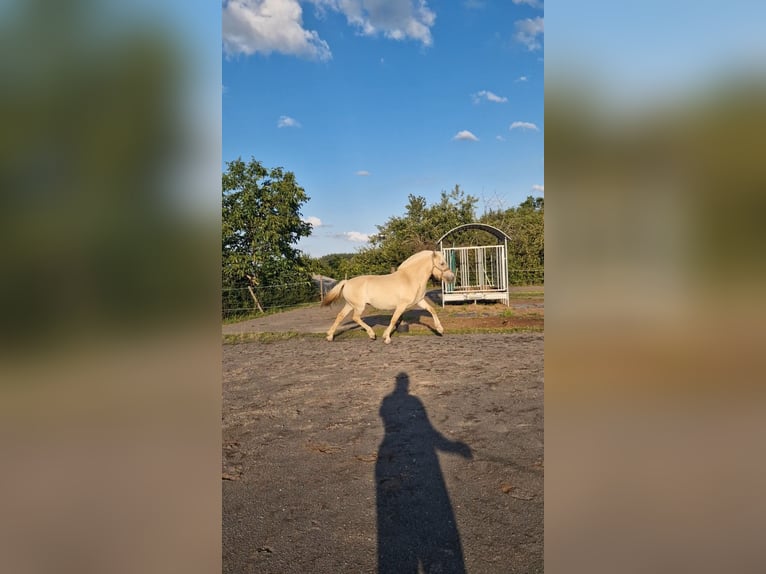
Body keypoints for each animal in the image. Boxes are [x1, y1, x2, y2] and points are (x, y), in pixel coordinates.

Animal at [321, 250, 456, 344]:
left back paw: (330, 336)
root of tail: (347, 282)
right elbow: (394, 319)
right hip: (359, 306)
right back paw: (372, 334)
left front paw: (440, 330)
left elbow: (432, 310)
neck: (410, 278)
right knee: (355, 318)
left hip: (350, 305)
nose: (452, 277)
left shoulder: (420, 301)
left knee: (340, 316)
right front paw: (386, 338)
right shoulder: (401, 305)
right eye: (442, 263)